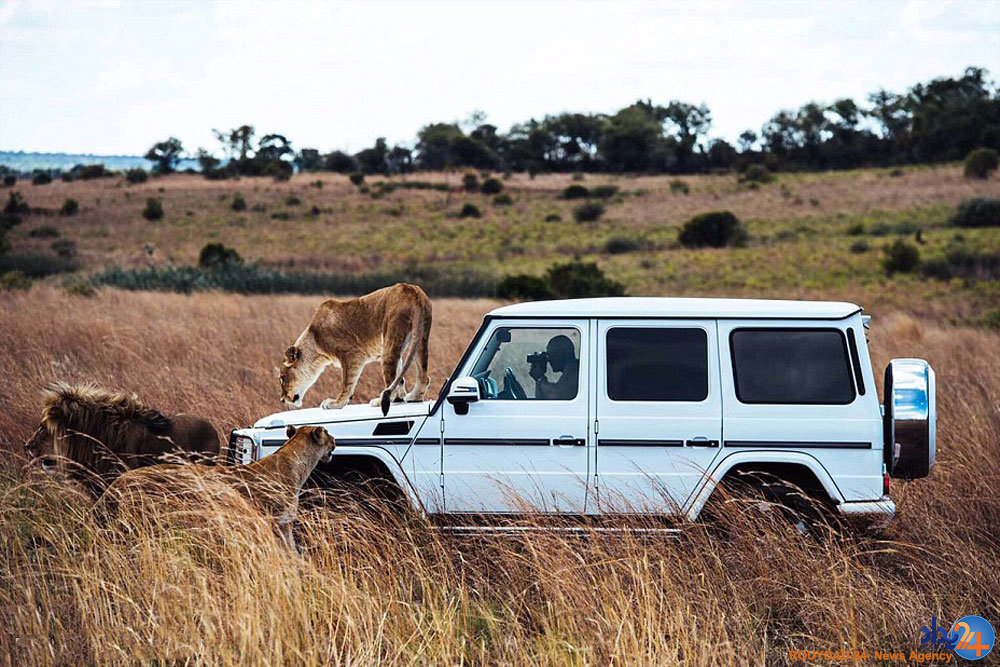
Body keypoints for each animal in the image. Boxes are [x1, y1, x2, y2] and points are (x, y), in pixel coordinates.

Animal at [280, 284, 432, 418]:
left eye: (282, 379)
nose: (282, 400)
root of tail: (412, 290)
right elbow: (401, 378)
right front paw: (400, 398)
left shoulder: (352, 355)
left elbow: (347, 384)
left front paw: (335, 403)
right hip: (419, 339)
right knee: (423, 376)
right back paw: (413, 397)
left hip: (390, 341)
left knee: (391, 384)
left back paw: (379, 401)